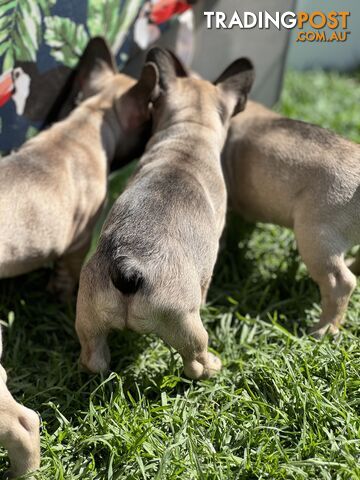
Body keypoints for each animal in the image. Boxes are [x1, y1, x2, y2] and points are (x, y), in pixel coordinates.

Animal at [74, 47, 255, 378]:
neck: (189, 133)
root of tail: (128, 269)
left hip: (89, 311)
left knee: (94, 356)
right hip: (185, 323)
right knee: (195, 359)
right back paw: (212, 367)